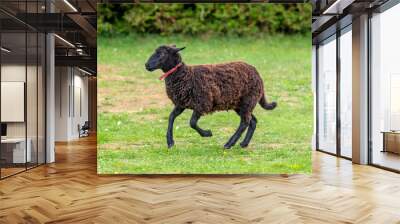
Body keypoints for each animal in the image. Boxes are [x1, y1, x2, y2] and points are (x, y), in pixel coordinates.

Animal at [145, 44, 276, 149]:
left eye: (162, 54)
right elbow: (171, 117)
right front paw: (170, 142)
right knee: (252, 121)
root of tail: (258, 75)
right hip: (240, 104)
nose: (146, 65)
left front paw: (207, 133)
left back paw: (229, 144)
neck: (185, 75)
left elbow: (192, 123)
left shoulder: (202, 103)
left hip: (248, 100)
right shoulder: (181, 104)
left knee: (244, 122)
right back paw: (243, 144)